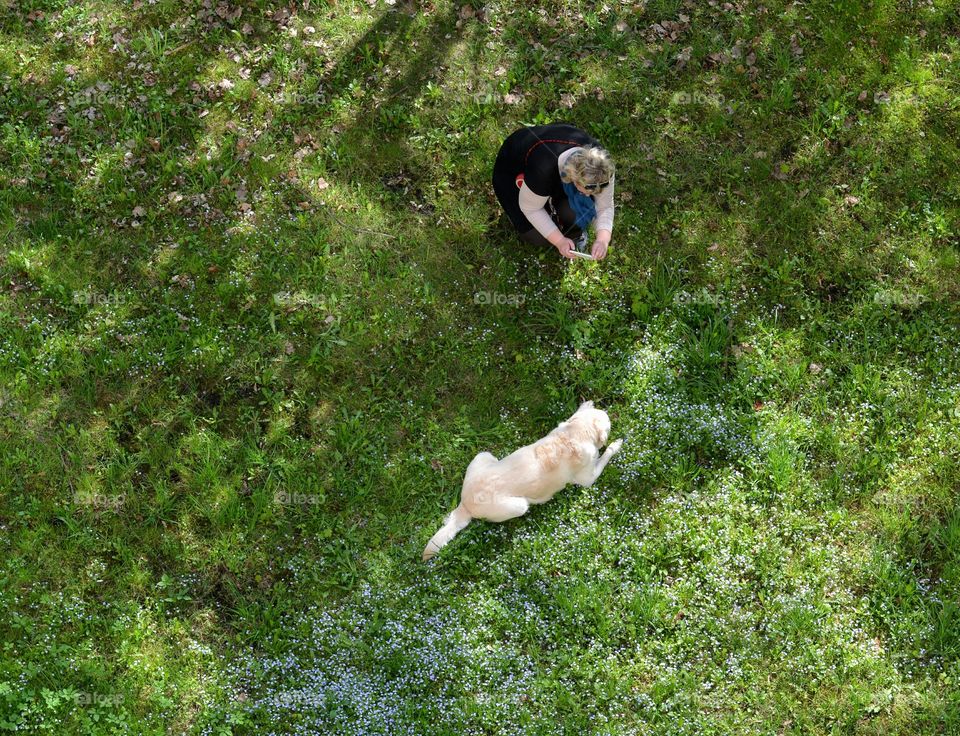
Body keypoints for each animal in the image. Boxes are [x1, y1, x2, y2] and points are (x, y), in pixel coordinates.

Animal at [422, 400, 624, 560]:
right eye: (608, 421)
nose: (610, 413)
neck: (574, 434)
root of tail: (465, 504)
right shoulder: (588, 478)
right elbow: (605, 456)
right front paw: (616, 445)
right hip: (519, 506)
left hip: (484, 454)